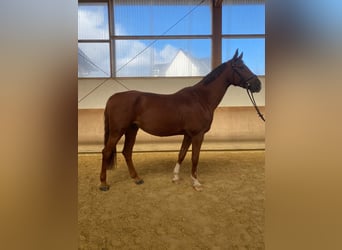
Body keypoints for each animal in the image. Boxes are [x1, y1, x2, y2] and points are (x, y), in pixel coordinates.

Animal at [100, 50, 260, 191]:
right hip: (117, 131)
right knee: (106, 152)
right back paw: (103, 184)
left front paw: (176, 177)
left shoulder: (188, 134)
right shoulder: (197, 135)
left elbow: (181, 154)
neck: (201, 99)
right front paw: (196, 183)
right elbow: (195, 158)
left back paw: (136, 178)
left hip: (132, 129)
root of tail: (113, 97)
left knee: (127, 152)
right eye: (241, 67)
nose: (258, 85)